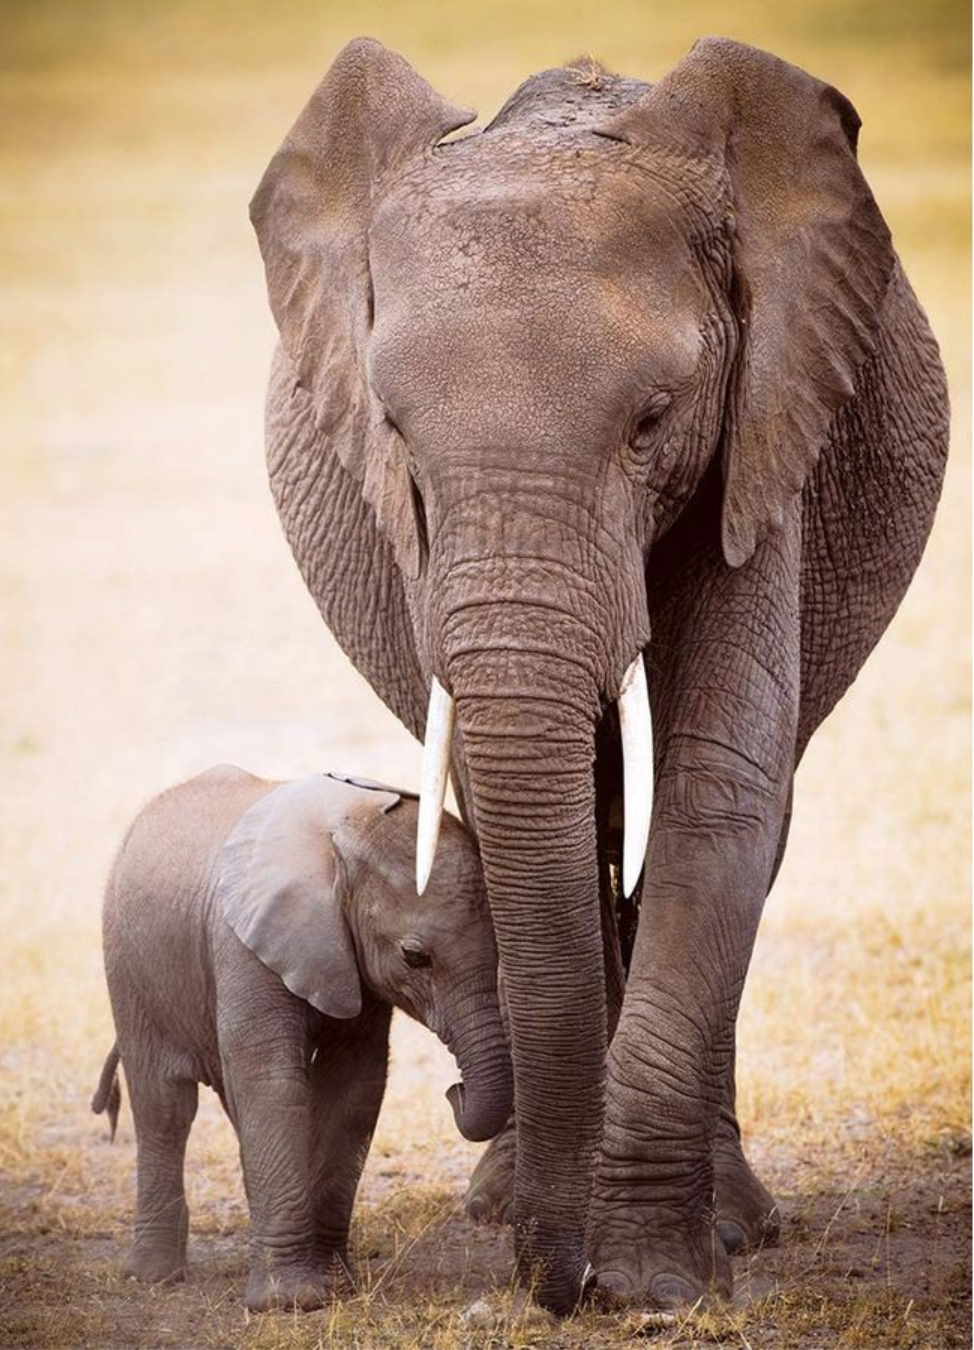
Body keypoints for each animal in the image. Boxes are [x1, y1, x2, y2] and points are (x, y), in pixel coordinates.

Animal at [93, 772, 513, 1306]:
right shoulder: (243, 945)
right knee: (164, 1107)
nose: (454, 1090)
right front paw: (289, 1303)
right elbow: (273, 1081)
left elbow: (355, 1087)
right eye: (415, 957)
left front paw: (335, 1285)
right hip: (129, 969)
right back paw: (155, 1276)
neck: (345, 834)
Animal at [247, 36, 945, 1312]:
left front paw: (655, 1285)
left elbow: (718, 784)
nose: (552, 1283)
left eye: (651, 421)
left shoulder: (764, 429)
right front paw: (587, 1252)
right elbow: (526, 793)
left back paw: (731, 1225)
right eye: (393, 431)